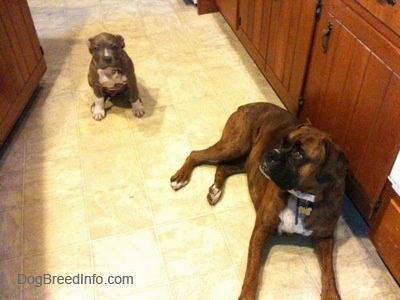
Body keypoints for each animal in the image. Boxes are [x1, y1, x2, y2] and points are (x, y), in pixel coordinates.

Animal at [169, 102, 346, 298]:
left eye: (298, 154)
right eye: (283, 142)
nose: (271, 153)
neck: (301, 198)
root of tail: (248, 105)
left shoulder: (325, 238)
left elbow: (329, 273)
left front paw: (332, 294)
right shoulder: (260, 230)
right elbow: (252, 271)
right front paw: (247, 295)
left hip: (246, 161)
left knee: (223, 167)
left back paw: (216, 190)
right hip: (235, 145)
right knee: (196, 154)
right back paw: (181, 177)